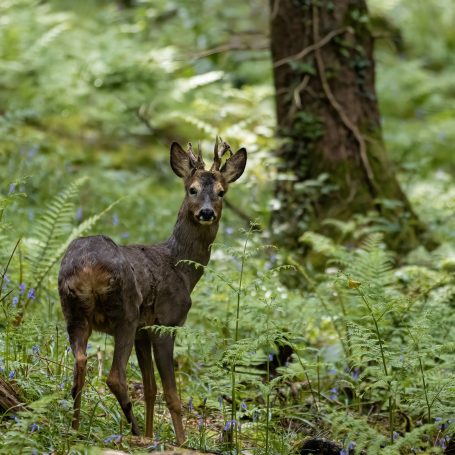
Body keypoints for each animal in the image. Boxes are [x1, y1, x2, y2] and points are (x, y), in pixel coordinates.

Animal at [58, 140, 248, 446]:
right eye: (192, 189)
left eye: (221, 192)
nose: (207, 213)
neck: (182, 268)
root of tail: (89, 266)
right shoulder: (165, 324)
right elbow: (171, 394)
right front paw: (179, 442)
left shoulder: (143, 331)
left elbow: (150, 389)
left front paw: (151, 434)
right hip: (125, 311)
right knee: (114, 377)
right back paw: (132, 432)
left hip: (73, 312)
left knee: (79, 364)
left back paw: (76, 429)